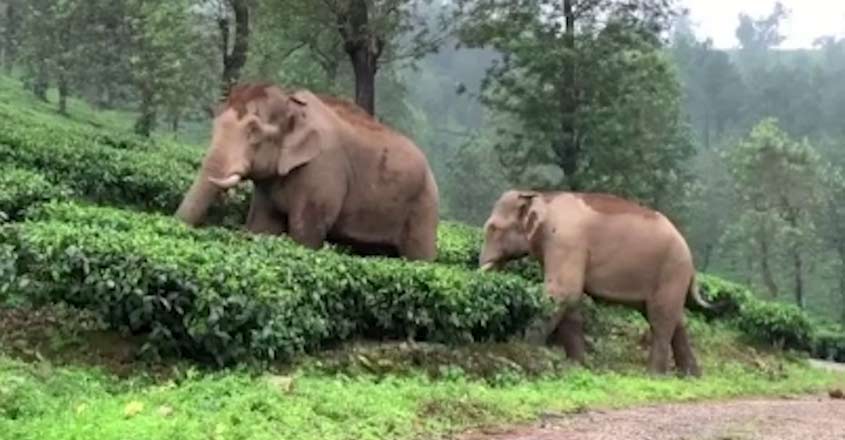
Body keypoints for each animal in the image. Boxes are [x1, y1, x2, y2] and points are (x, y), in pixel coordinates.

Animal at [175, 83, 439, 261]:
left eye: (254, 131)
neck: (291, 103)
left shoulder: (322, 172)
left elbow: (306, 232)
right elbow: (263, 226)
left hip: (424, 206)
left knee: (419, 256)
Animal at [478, 190, 723, 376]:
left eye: (492, 228)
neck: (542, 196)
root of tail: (690, 258)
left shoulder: (565, 241)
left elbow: (563, 292)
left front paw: (524, 351)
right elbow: (570, 303)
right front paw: (578, 366)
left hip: (671, 272)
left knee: (661, 319)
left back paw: (654, 375)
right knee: (675, 319)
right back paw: (691, 375)